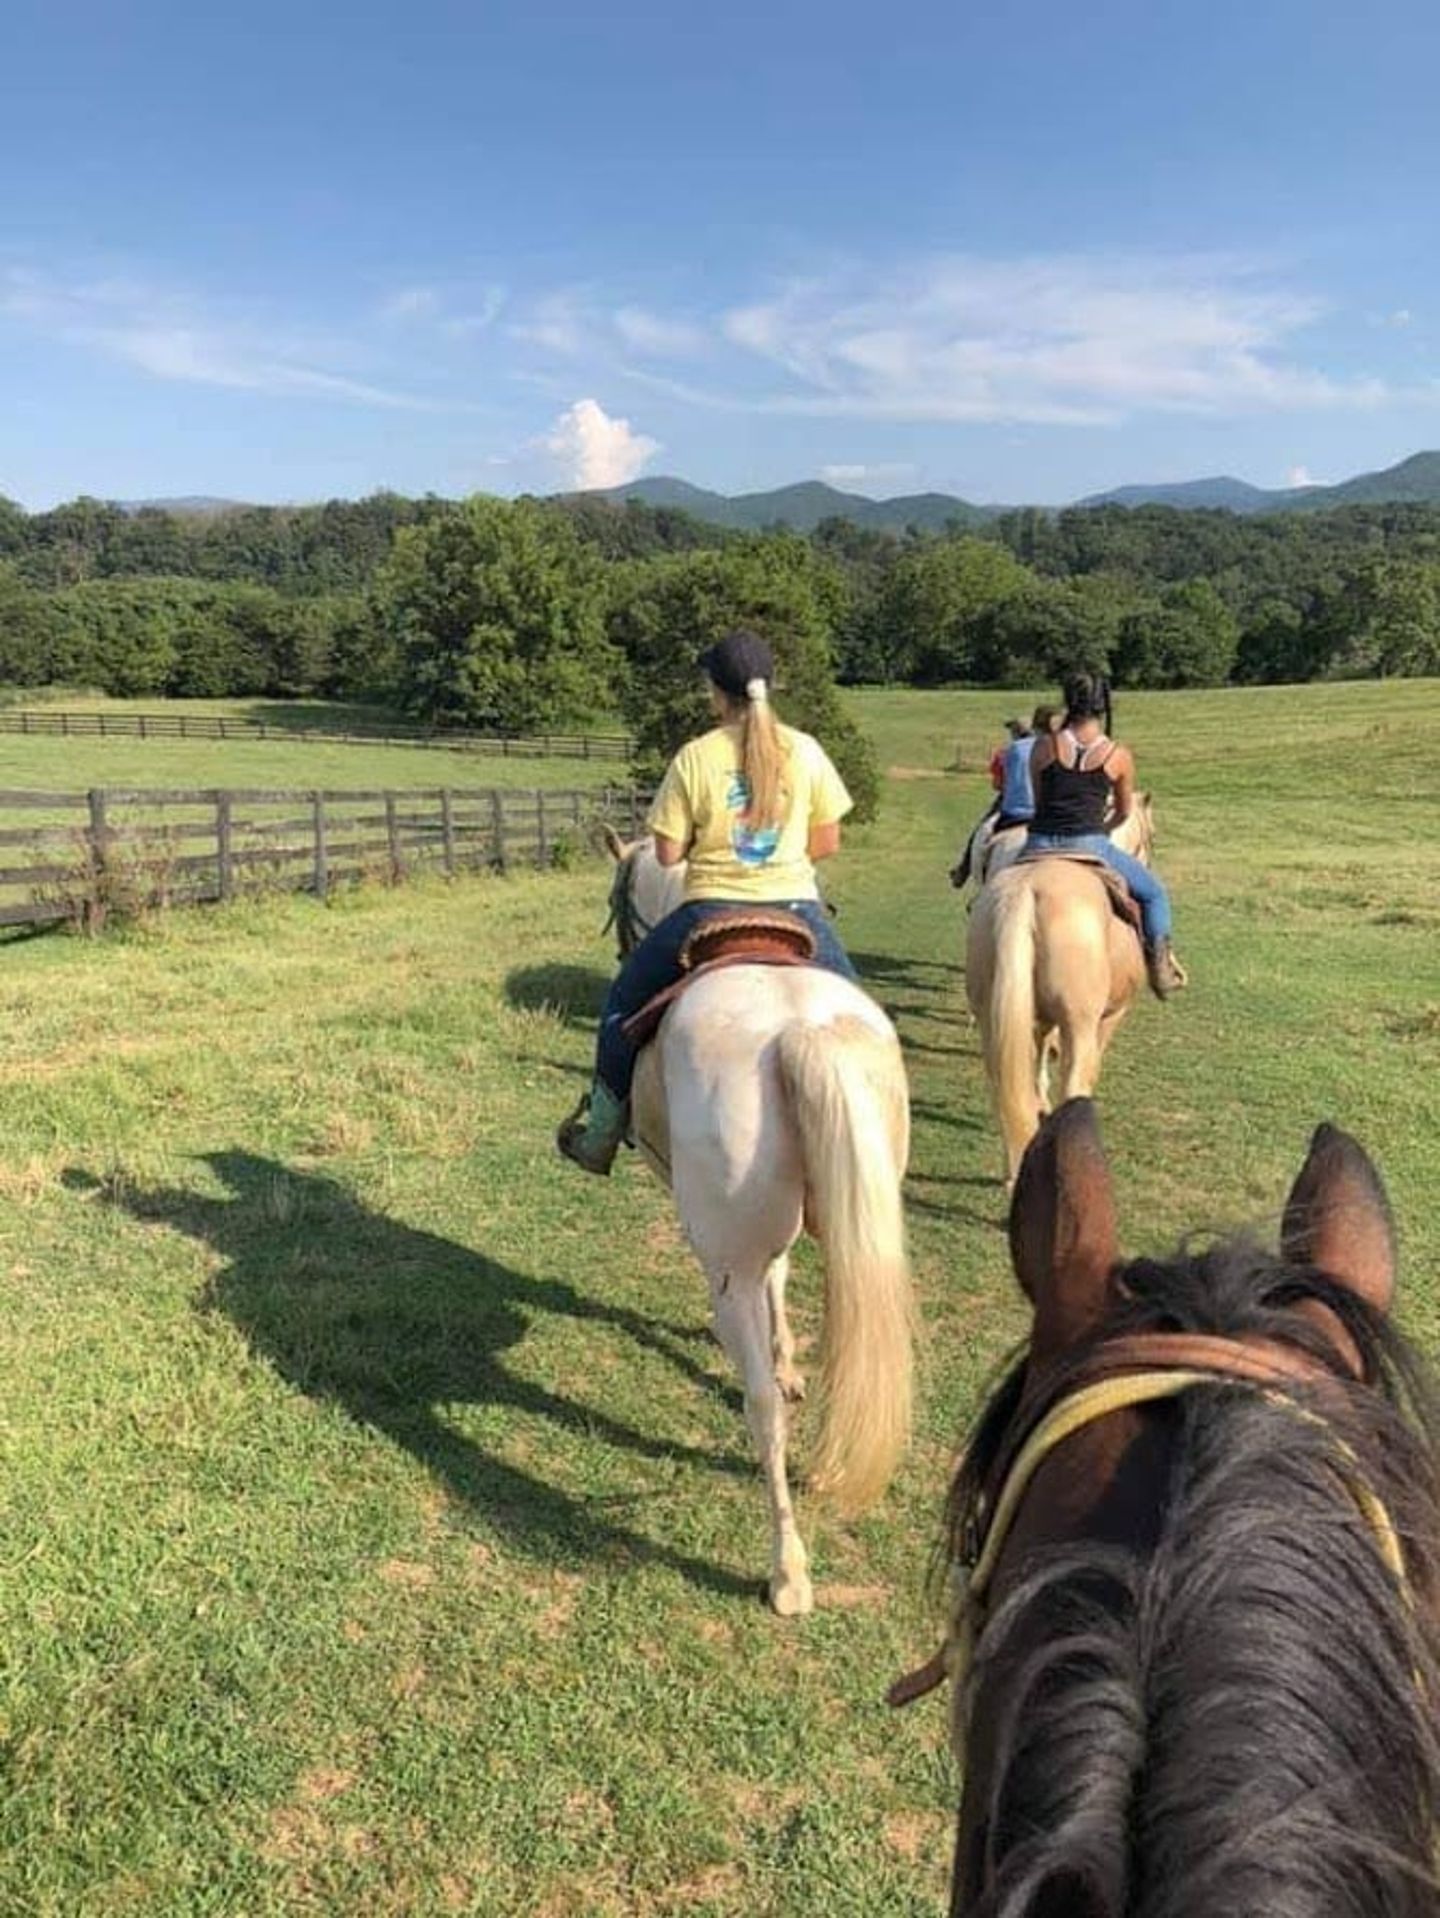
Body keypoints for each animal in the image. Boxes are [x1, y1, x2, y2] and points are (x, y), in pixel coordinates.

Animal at [600, 829, 913, 1616]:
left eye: (618, 902)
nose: (620, 953)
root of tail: (798, 1030)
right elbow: (784, 1274)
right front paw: (790, 1358)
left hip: (732, 1261)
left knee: (762, 1411)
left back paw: (788, 1571)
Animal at [963, 802, 1157, 1185]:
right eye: (1151, 836)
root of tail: (1026, 894)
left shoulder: (1036, 1016)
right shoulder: (1110, 1015)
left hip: (994, 1017)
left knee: (1005, 1088)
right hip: (1078, 1022)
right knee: (1073, 1086)